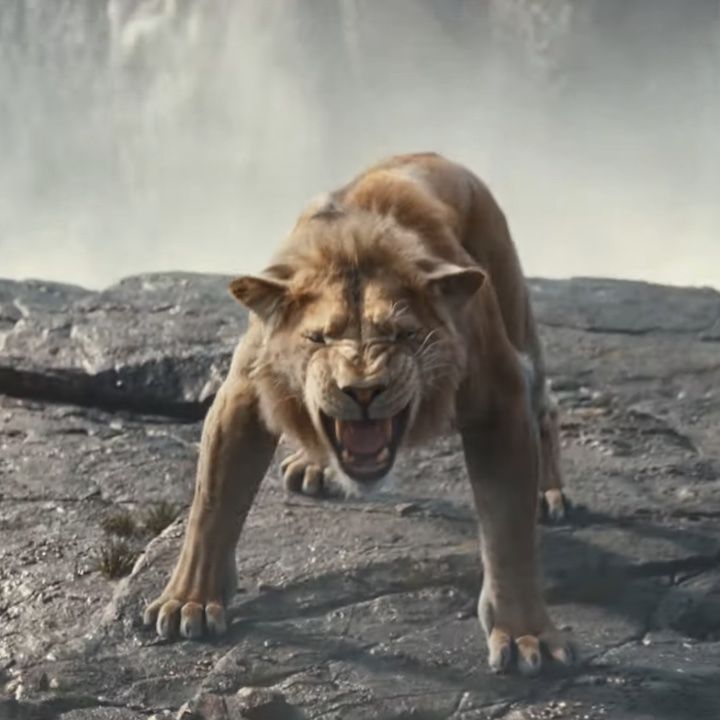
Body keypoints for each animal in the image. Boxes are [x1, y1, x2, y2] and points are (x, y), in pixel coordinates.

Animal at [143, 152, 573, 675]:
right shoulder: (243, 394)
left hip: (512, 302)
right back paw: (312, 467)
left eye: (404, 334)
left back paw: (550, 493)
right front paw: (189, 600)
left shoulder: (500, 398)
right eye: (318, 338)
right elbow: (211, 504)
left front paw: (526, 634)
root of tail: (438, 157)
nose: (363, 390)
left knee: (546, 404)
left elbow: (509, 534)